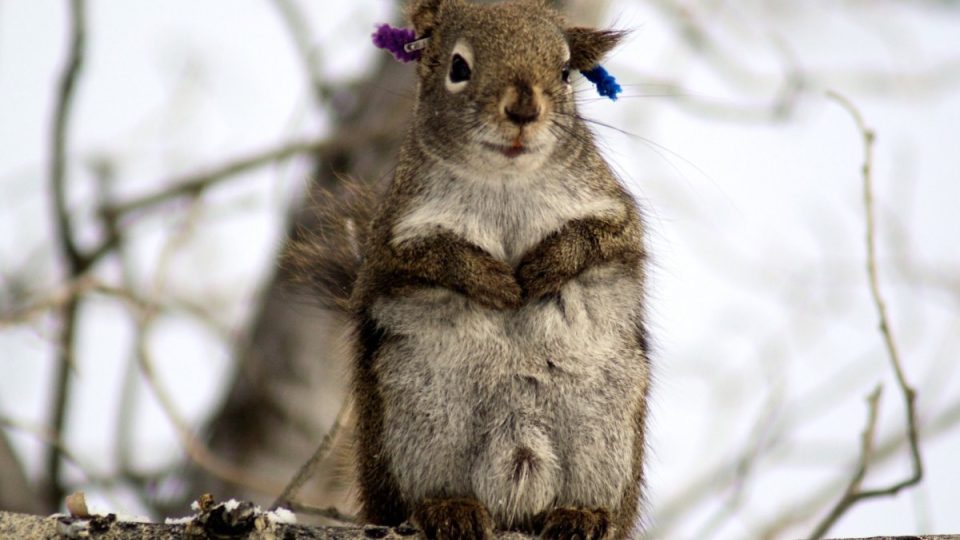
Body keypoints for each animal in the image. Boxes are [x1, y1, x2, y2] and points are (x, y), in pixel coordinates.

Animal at [290, 1, 652, 540]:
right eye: (458, 68)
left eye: (565, 72)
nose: (524, 111)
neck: (505, 181)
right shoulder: (390, 241)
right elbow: (434, 258)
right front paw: (493, 282)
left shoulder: (615, 213)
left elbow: (596, 239)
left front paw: (544, 267)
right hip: (414, 432)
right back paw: (449, 509)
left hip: (606, 436)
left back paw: (582, 516)